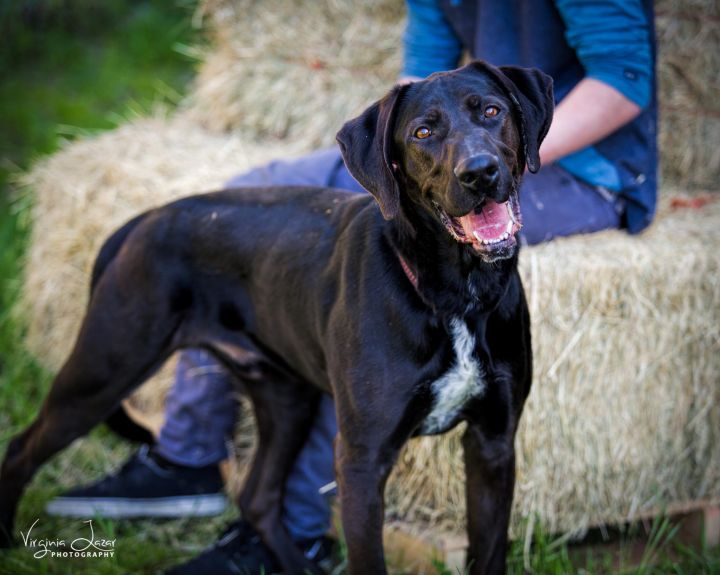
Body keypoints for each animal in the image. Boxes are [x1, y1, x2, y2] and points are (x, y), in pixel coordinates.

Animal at [1, 62, 552, 575]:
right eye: (422, 132)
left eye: (491, 111)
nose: (479, 172)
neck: (457, 294)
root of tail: (145, 217)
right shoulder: (362, 460)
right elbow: (368, 559)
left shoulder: (493, 444)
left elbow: (489, 552)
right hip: (104, 370)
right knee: (21, 448)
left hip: (286, 398)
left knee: (258, 497)